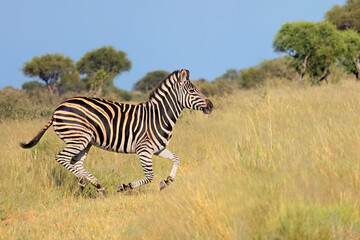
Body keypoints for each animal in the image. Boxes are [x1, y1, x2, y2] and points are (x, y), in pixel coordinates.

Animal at [19, 68, 212, 194]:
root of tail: (56, 109)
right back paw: (88, 182)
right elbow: (150, 176)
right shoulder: (144, 150)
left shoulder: (158, 149)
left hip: (85, 142)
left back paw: (93, 185)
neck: (158, 116)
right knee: (62, 158)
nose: (211, 105)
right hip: (78, 138)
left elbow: (176, 159)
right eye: (193, 90)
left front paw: (167, 181)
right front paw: (125, 186)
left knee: (76, 163)